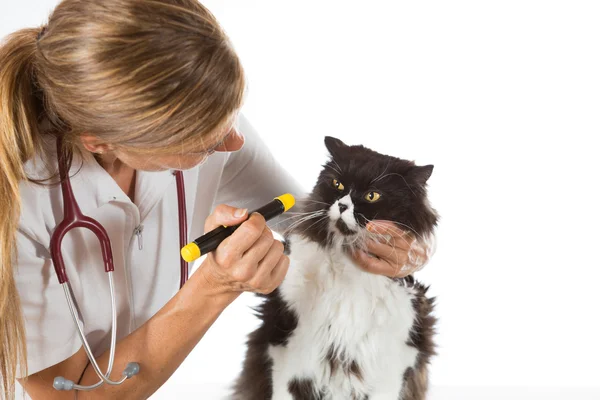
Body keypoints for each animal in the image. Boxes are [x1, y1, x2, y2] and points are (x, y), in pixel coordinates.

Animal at [232, 138, 438, 400]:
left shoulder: (391, 366)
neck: (346, 266)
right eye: (337, 184)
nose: (341, 205)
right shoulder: (286, 352)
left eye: (372, 195)